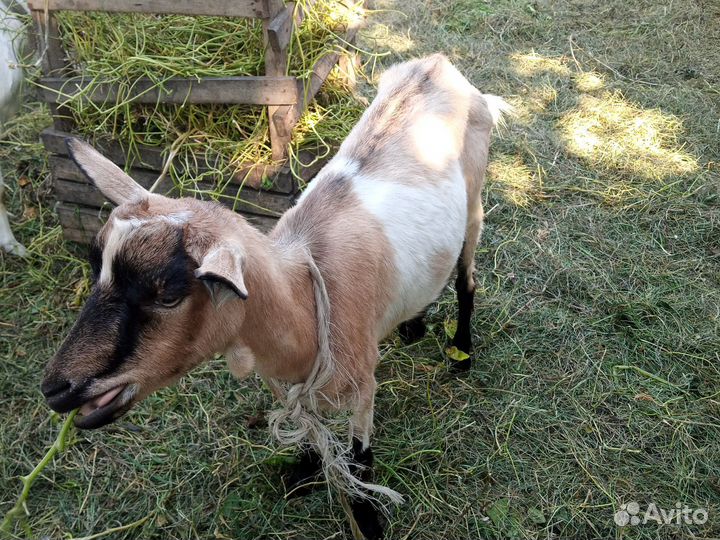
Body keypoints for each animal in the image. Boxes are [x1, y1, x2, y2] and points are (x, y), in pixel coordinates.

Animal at [40, 54, 509, 539]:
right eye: (96, 265)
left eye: (168, 293)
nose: (56, 389)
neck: (305, 298)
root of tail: (437, 64)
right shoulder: (290, 384)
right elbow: (308, 427)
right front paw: (304, 470)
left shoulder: (363, 384)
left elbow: (359, 463)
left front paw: (366, 520)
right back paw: (413, 325)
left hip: (473, 204)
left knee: (466, 280)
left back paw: (462, 352)